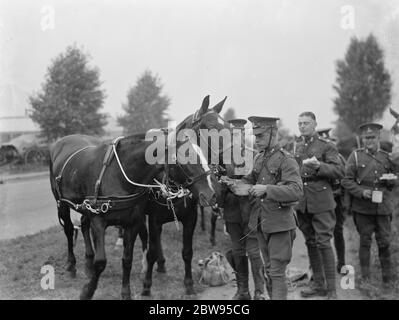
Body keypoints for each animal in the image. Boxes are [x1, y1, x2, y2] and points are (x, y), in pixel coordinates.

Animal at [50, 131, 219, 300]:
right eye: (186, 158)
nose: (212, 195)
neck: (118, 175)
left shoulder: (143, 222)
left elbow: (129, 260)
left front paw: (127, 292)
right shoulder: (101, 220)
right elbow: (102, 261)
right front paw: (88, 291)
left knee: (85, 224)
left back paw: (89, 264)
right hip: (62, 204)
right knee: (69, 229)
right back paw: (72, 265)